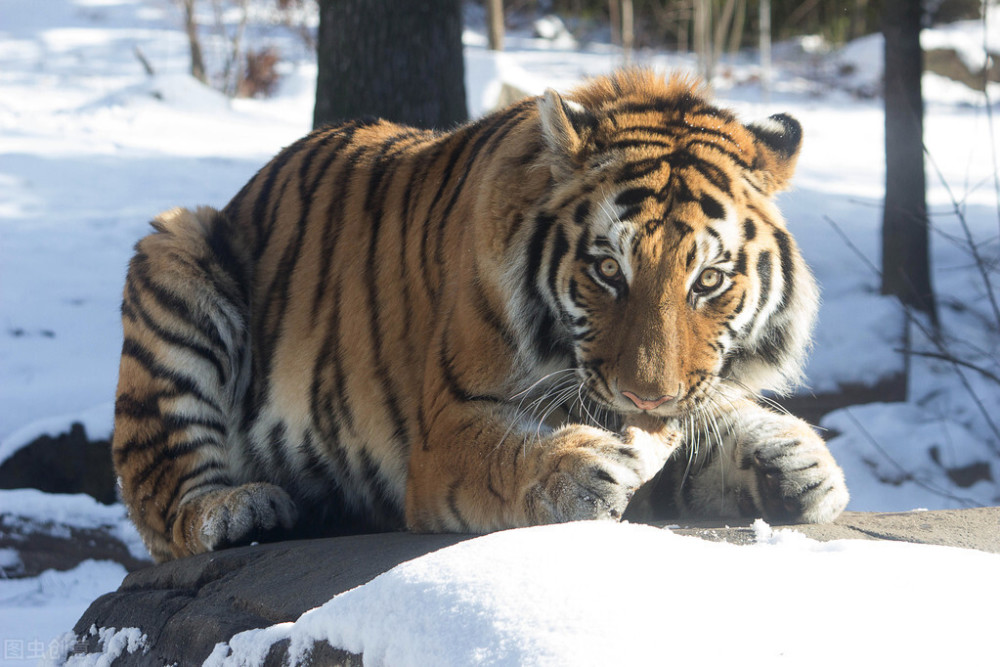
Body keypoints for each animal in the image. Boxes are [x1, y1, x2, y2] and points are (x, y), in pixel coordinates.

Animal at [115, 70, 852, 560]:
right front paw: (576, 469)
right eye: (607, 270)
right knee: (162, 497)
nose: (648, 395)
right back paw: (240, 508)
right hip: (175, 254)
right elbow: (509, 451)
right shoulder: (447, 428)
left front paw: (801, 462)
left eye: (709, 280)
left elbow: (713, 426)